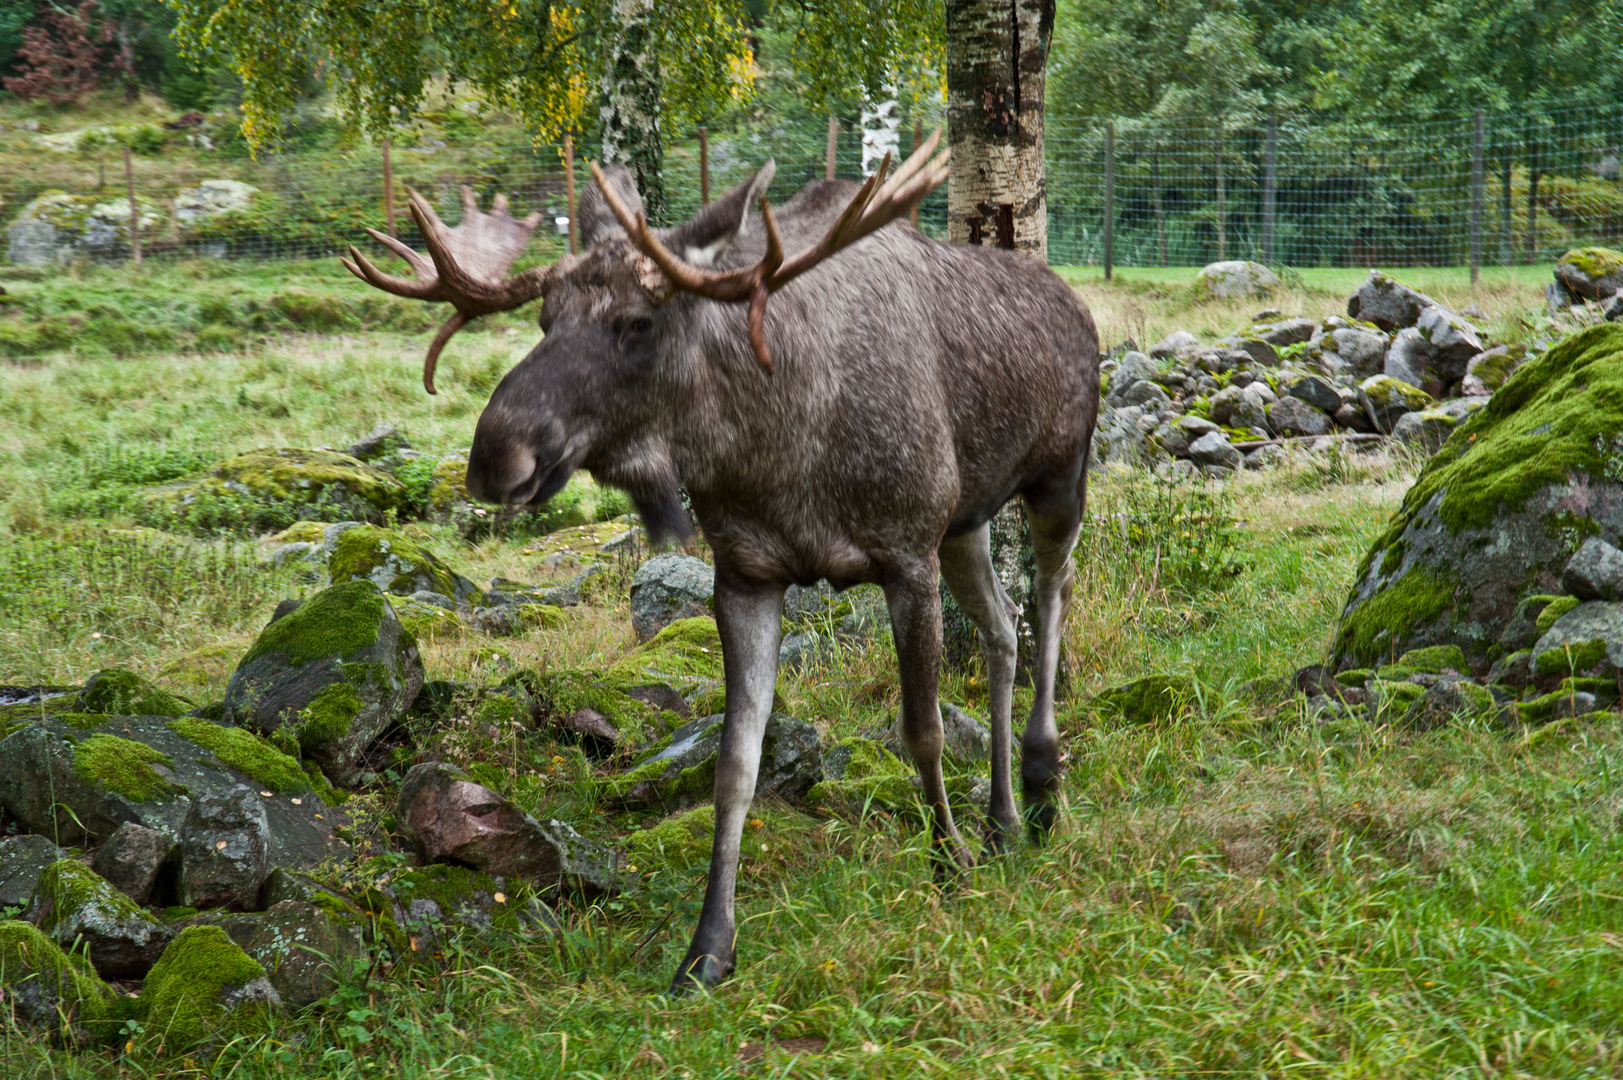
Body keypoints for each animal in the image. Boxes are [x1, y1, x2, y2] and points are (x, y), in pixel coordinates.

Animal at [345, 134, 1103, 993]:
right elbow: (735, 765)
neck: (778, 455)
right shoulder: (745, 574)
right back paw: (1002, 816)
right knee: (1003, 630)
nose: (495, 456)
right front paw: (708, 947)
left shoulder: (904, 552)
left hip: (1056, 476)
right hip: (966, 520)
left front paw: (948, 859)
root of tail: (1075, 301)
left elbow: (923, 731)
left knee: (1051, 594)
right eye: (543, 318)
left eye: (637, 322)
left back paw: (1040, 784)